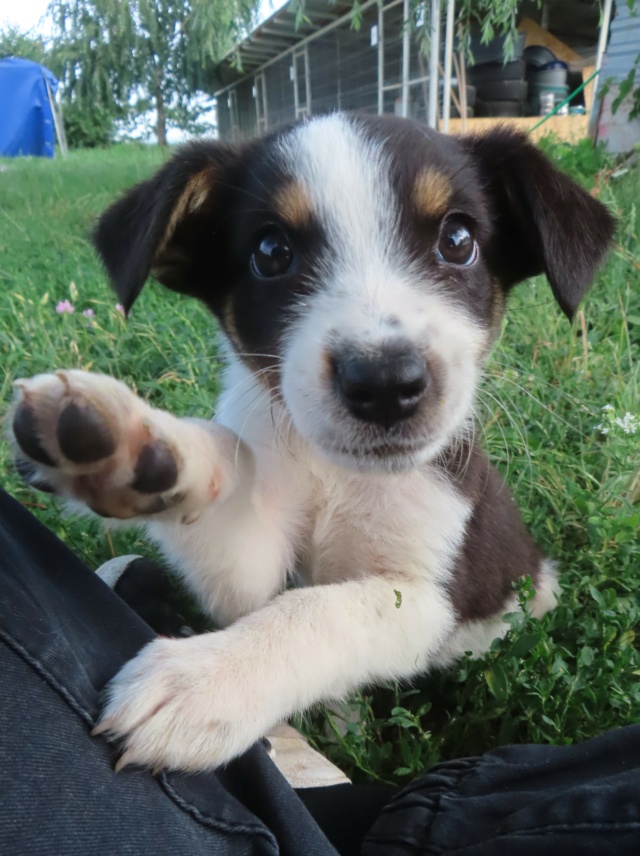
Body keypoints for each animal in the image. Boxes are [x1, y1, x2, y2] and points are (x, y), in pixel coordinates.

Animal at [8, 112, 608, 768]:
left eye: (458, 240)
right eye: (271, 252)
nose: (384, 383)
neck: (341, 476)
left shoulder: (434, 597)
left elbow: (324, 610)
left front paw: (203, 683)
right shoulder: (250, 576)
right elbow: (239, 509)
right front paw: (135, 446)